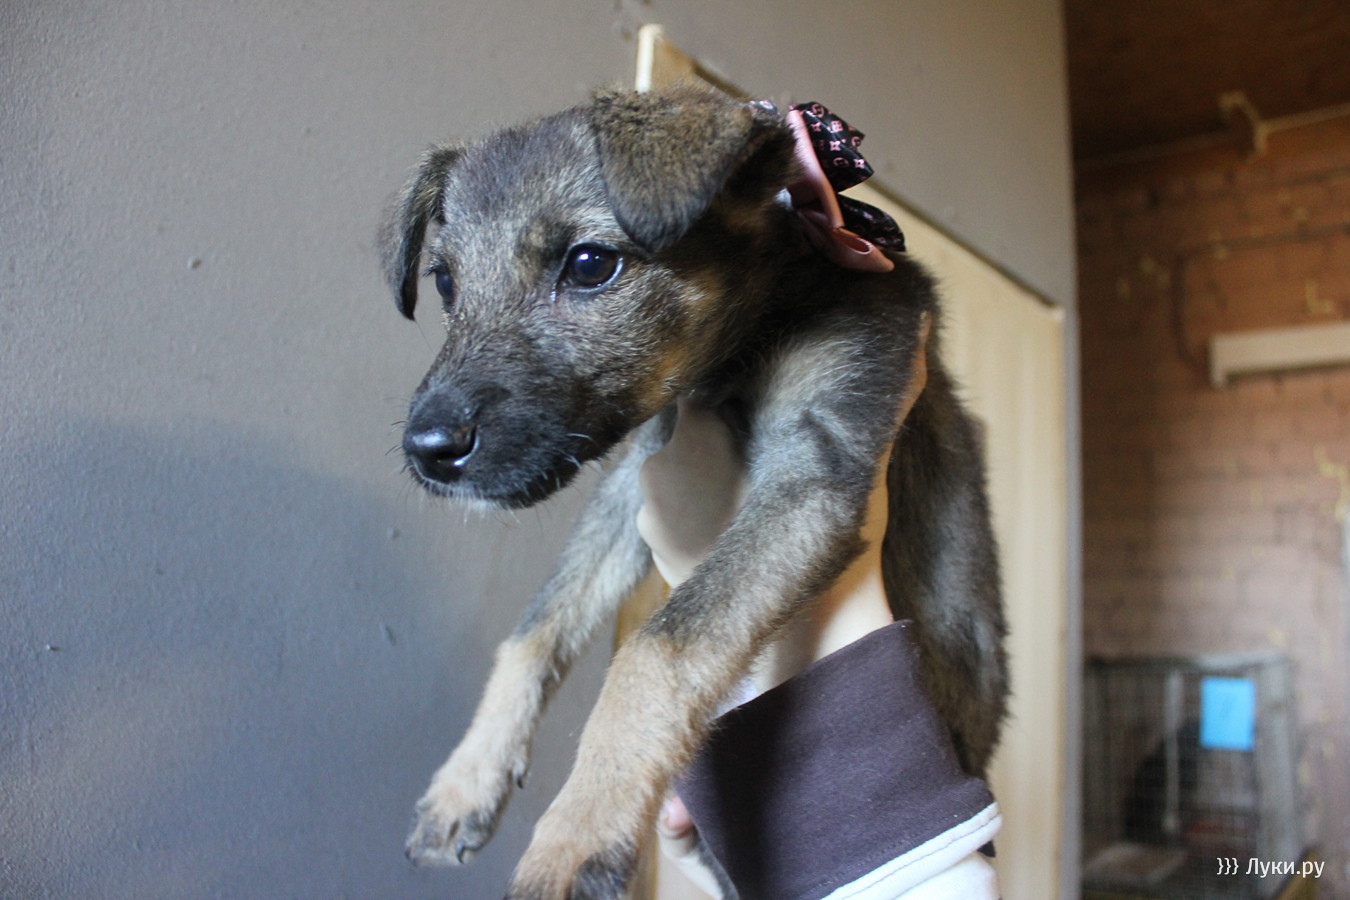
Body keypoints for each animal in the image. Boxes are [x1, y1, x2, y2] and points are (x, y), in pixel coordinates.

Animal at [380, 84, 1007, 899]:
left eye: (590, 265)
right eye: (446, 282)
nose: (426, 451)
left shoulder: (815, 470)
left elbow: (659, 648)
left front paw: (575, 836)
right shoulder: (632, 481)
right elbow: (537, 627)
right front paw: (467, 780)